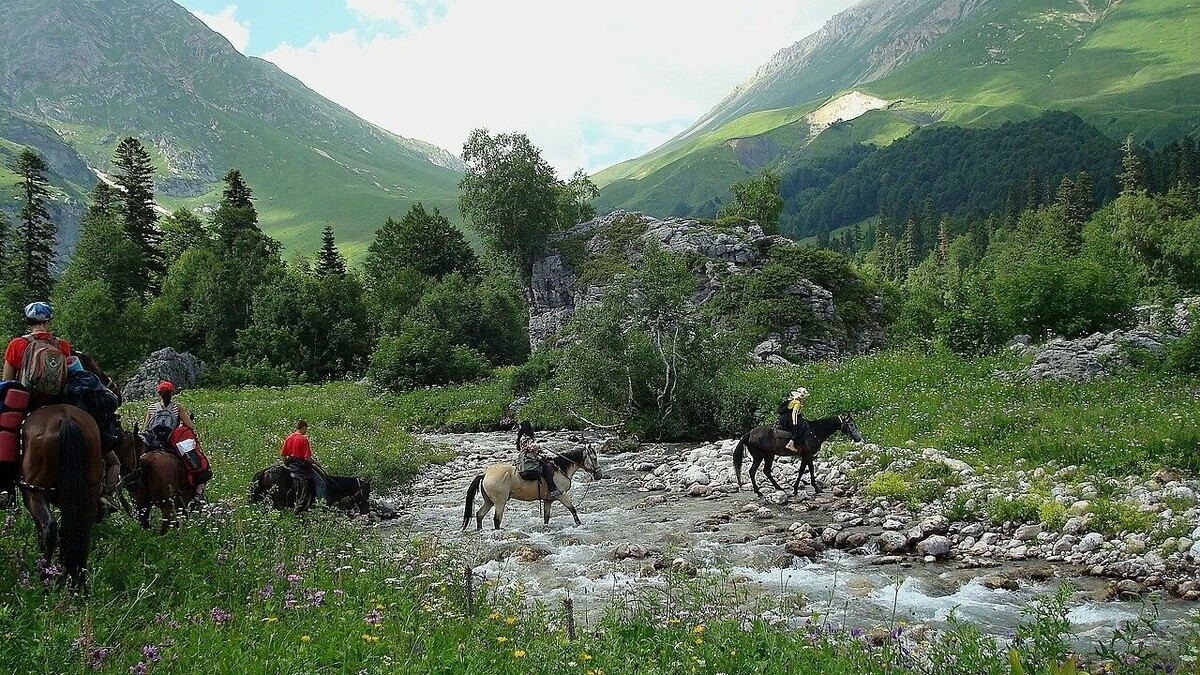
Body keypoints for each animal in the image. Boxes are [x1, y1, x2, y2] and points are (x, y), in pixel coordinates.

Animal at [18, 403, 103, 583]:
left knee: (49, 529)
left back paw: (46, 578)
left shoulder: (31, 495)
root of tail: (66, 418)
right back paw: (72, 581)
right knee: (78, 530)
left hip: (36, 493)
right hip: (89, 492)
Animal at [463, 441, 604, 530]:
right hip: (499, 502)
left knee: (479, 514)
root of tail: (485, 474)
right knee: (496, 520)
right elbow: (572, 509)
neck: (560, 469)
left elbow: (546, 517)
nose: (599, 475)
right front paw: (579, 524)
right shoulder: (561, 495)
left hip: (489, 501)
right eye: (595, 458)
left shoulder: (548, 500)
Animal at [729, 410, 864, 494]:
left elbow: (807, 470)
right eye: (850, 424)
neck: (815, 430)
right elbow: (805, 471)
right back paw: (771, 490)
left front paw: (808, 488)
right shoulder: (807, 455)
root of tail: (749, 434)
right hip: (767, 456)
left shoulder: (807, 456)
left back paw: (764, 491)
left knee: (755, 471)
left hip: (761, 457)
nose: (858, 438)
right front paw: (802, 489)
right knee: (763, 471)